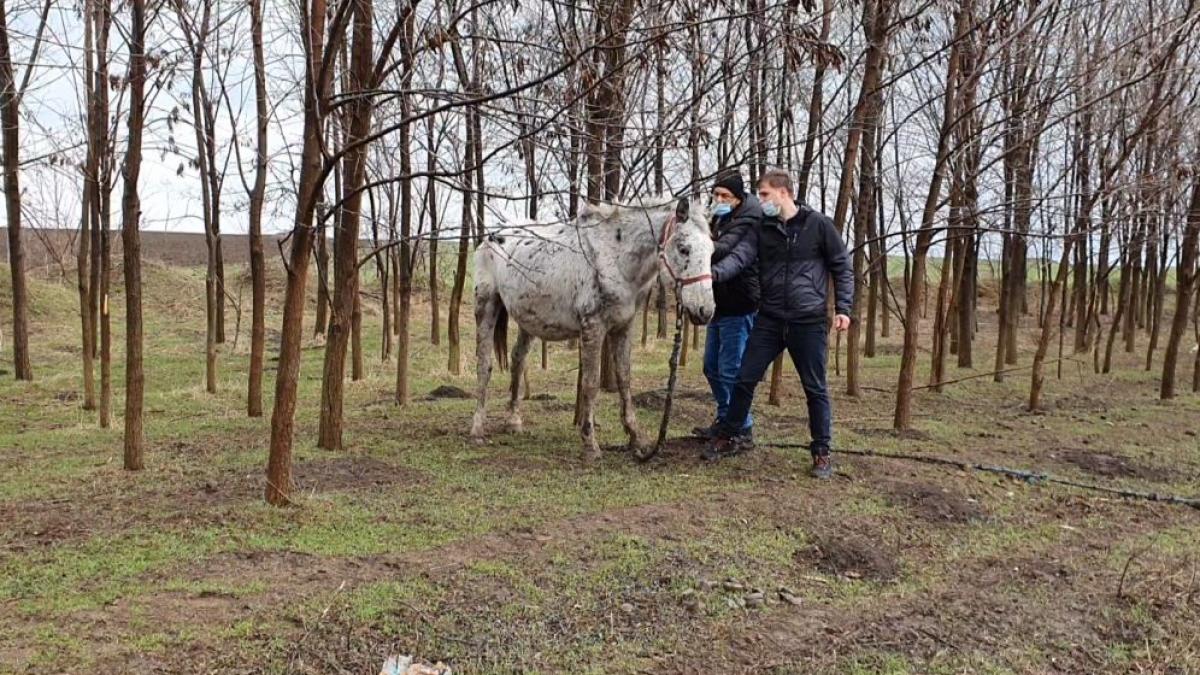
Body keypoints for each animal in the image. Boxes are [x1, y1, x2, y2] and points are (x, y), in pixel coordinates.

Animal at [468, 194, 710, 456]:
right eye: (684, 249)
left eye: (712, 250)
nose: (705, 311)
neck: (614, 260)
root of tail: (491, 237)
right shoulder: (593, 328)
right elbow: (591, 383)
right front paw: (590, 443)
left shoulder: (624, 327)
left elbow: (624, 379)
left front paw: (636, 438)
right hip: (486, 306)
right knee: (484, 365)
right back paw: (477, 428)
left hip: (528, 320)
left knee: (518, 360)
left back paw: (513, 421)